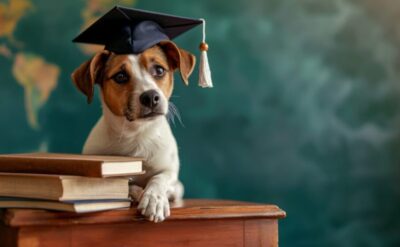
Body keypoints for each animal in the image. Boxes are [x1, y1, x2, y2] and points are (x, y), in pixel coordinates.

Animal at [72, 40, 197, 222]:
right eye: (120, 76)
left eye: (159, 70)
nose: (150, 97)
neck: (138, 135)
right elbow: (126, 184)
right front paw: (139, 193)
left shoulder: (171, 173)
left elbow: (160, 178)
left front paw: (154, 199)